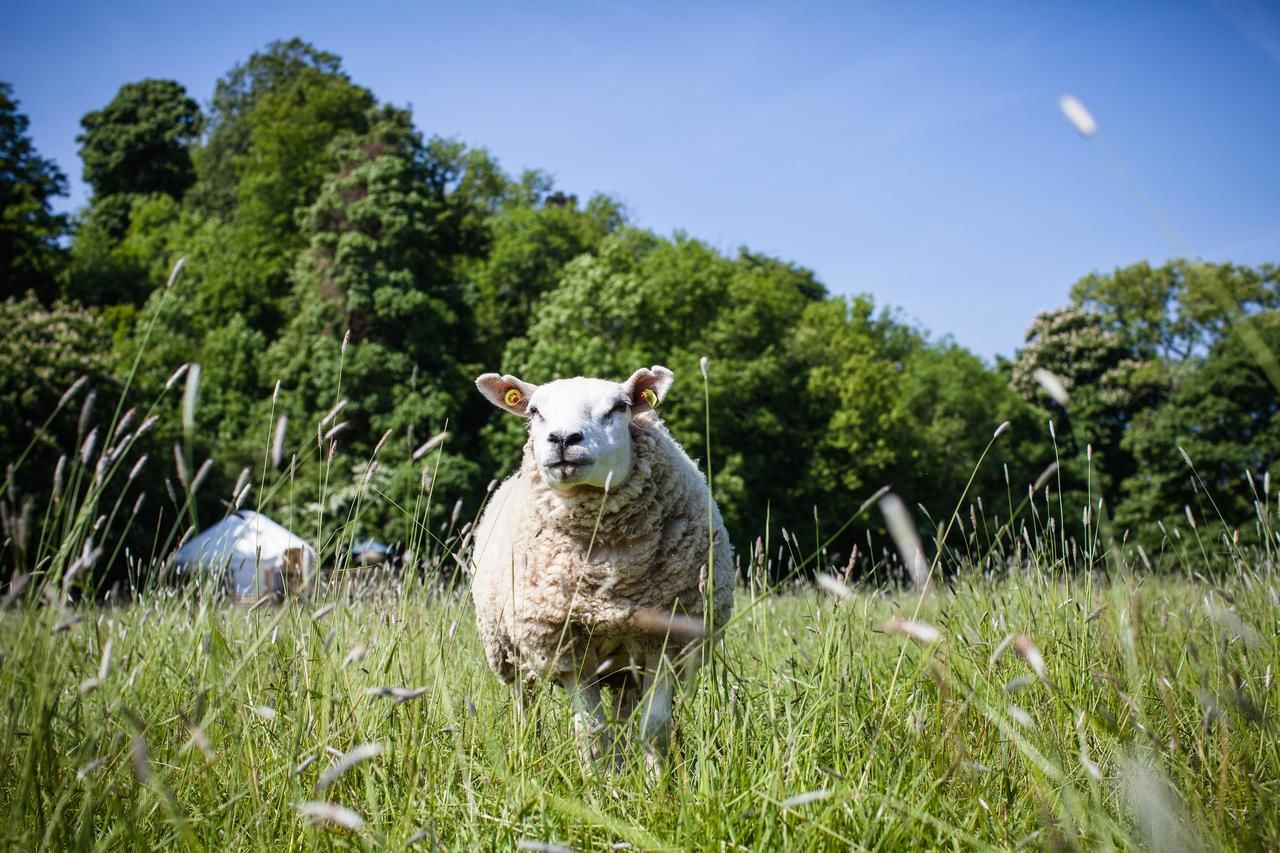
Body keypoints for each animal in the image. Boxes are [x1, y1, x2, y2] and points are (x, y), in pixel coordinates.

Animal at [471, 361, 737, 758]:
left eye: (620, 407)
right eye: (534, 411)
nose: (563, 439)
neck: (611, 579)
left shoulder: (667, 641)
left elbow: (653, 729)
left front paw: (655, 776)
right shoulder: (567, 646)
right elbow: (592, 733)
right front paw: (598, 775)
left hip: (623, 664)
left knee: (624, 714)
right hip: (506, 651)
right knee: (525, 705)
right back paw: (528, 752)